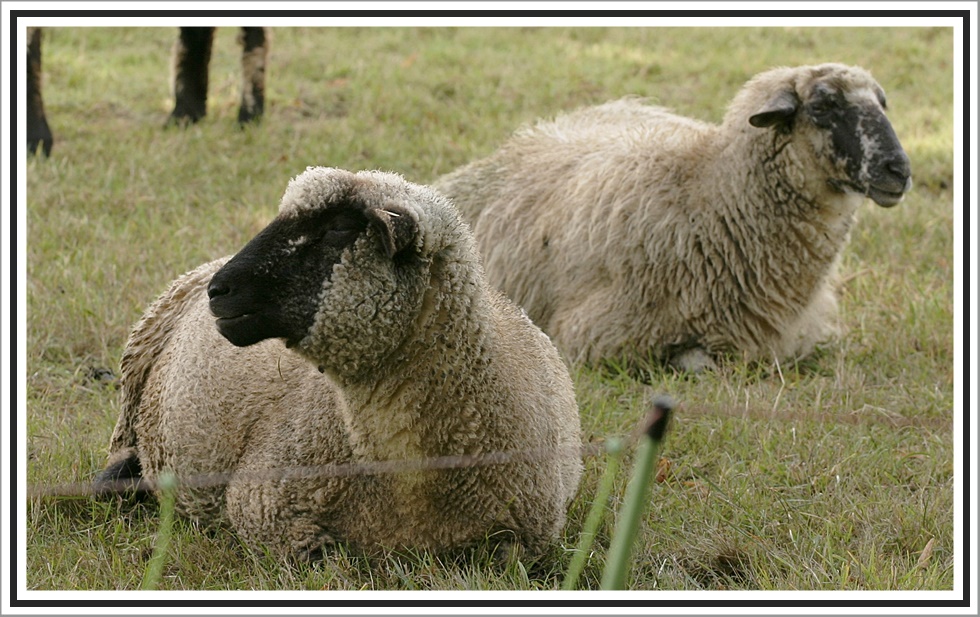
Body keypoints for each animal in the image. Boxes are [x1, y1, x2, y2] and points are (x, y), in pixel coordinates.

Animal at [434, 62, 912, 370]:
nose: (900, 170)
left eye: (883, 103)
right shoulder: (592, 336)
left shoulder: (806, 331)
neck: (706, 192)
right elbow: (699, 361)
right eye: (822, 106)